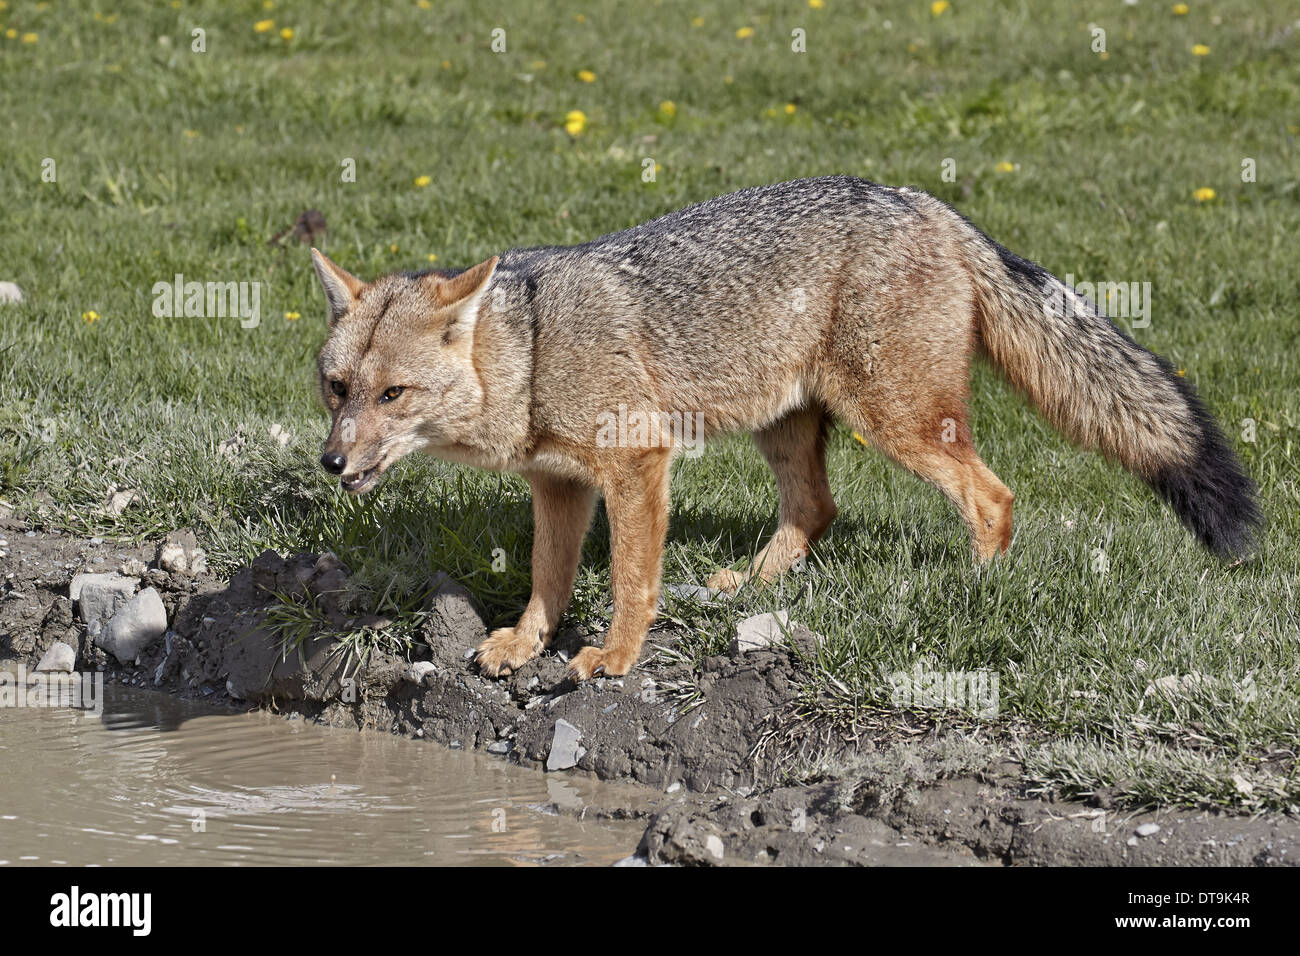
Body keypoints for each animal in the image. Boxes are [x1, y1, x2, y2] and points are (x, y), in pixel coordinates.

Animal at [310, 175, 1261, 681]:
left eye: (393, 395)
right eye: (336, 389)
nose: (330, 463)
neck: (534, 353)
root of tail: (925, 201)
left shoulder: (637, 464)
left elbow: (630, 582)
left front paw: (614, 656)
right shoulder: (561, 484)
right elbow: (548, 579)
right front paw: (522, 642)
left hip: (901, 425)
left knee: (994, 498)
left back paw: (976, 589)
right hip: (787, 426)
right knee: (815, 511)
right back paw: (751, 590)